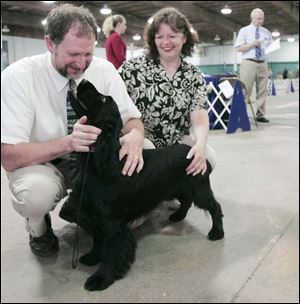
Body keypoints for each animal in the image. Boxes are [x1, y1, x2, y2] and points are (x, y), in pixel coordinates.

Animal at [59, 79, 223, 290]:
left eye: (102, 99)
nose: (84, 81)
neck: (102, 162)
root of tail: (196, 152)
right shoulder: (95, 215)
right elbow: (97, 240)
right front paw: (92, 257)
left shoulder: (113, 223)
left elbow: (111, 252)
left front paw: (101, 278)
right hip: (179, 188)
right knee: (186, 202)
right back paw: (177, 216)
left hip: (198, 189)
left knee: (214, 206)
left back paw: (217, 232)